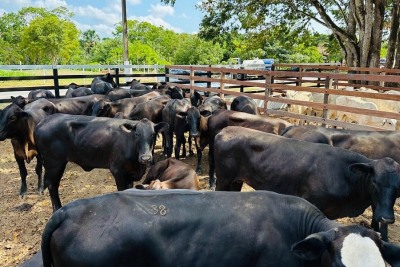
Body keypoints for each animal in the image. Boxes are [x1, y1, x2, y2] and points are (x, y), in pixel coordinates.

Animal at [32, 114, 167, 213]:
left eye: (153, 134)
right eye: (137, 134)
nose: (145, 158)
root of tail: (43, 121)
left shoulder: (129, 173)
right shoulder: (117, 170)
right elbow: (122, 190)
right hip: (54, 164)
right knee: (52, 185)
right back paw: (57, 209)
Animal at [214, 126, 400, 242]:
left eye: (399, 187)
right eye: (375, 181)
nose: (387, 218)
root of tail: (225, 130)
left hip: (236, 181)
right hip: (223, 179)